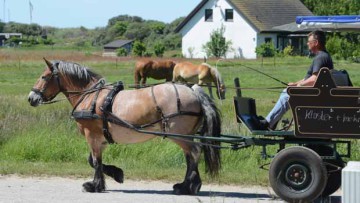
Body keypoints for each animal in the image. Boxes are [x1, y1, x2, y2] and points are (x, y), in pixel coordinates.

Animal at [28, 58, 221, 195]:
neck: (90, 96)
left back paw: (189, 186)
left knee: (194, 152)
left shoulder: (92, 135)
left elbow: (95, 162)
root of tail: (193, 90)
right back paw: (187, 185)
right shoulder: (101, 138)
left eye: (43, 77)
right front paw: (116, 174)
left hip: (179, 135)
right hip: (186, 135)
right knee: (190, 156)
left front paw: (94, 185)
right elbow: (93, 160)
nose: (31, 98)